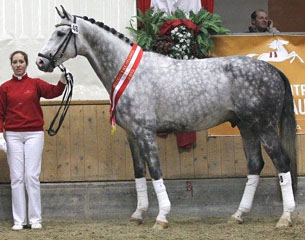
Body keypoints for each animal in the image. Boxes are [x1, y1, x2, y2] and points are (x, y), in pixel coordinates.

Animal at [35, 7, 294, 229]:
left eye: (61, 33)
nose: (41, 60)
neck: (131, 73)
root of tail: (273, 70)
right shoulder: (132, 135)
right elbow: (139, 171)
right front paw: (138, 214)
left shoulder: (146, 132)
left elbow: (155, 169)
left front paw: (161, 217)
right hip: (247, 127)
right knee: (255, 165)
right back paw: (238, 215)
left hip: (265, 127)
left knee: (282, 162)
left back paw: (285, 217)